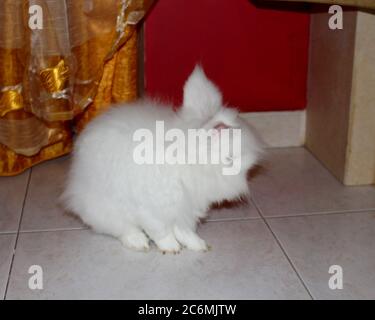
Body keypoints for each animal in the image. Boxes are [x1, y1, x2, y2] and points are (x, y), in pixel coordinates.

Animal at [62, 65, 262, 252]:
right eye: (230, 159)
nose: (250, 167)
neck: (187, 163)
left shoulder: (185, 210)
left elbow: (184, 230)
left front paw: (199, 245)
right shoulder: (152, 209)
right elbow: (161, 231)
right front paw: (171, 248)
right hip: (107, 209)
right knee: (122, 229)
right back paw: (138, 242)